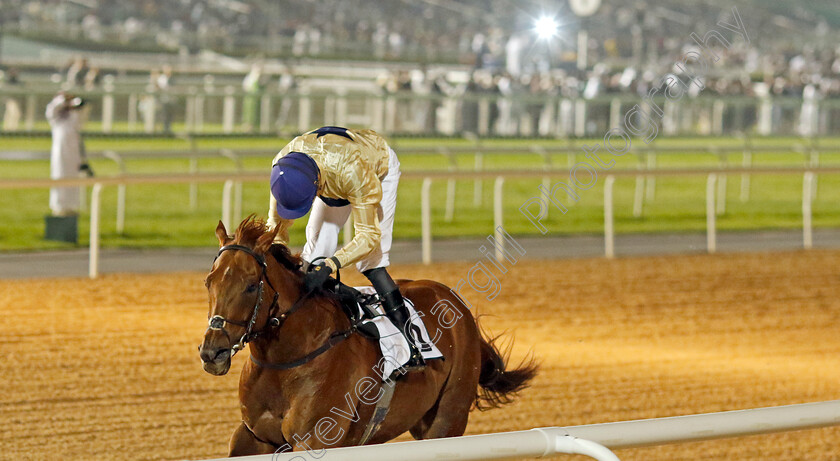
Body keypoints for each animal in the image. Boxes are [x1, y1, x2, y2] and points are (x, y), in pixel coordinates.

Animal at [200, 217, 536, 454]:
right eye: (209, 281)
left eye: (250, 286)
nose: (212, 352)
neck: (287, 358)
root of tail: (455, 301)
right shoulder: (253, 435)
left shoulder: (315, 439)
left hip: (448, 418)